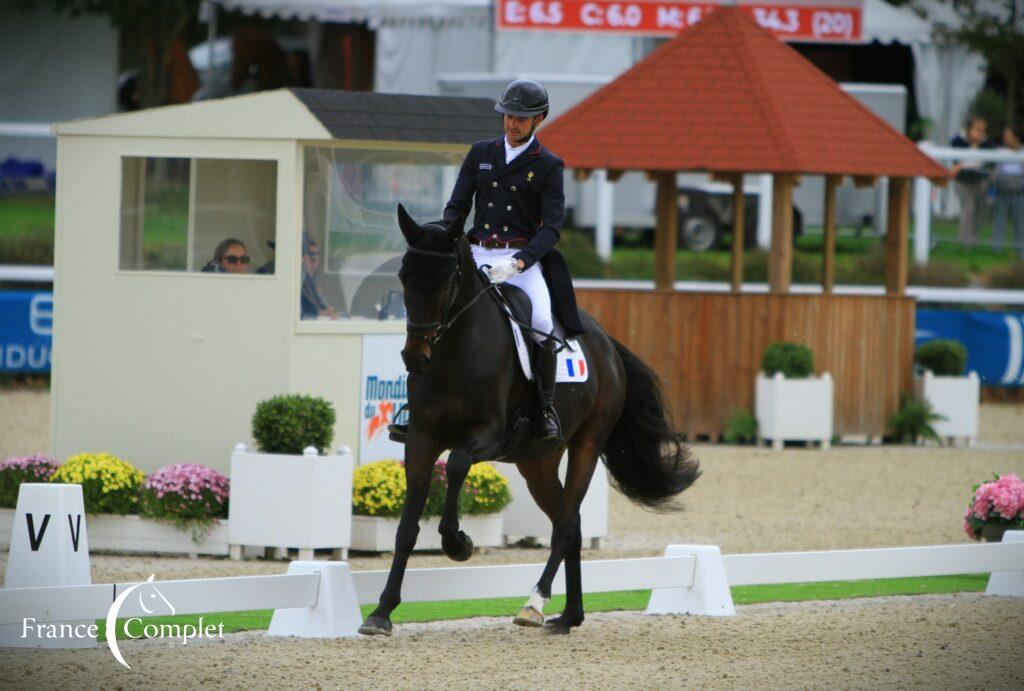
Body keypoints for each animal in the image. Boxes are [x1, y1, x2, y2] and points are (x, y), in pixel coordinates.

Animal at [356, 206, 700, 638]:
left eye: (447, 278)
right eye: (404, 275)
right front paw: (381, 612)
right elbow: (406, 527)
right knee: (571, 525)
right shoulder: (421, 438)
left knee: (565, 524)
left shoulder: (487, 436)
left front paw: (458, 543)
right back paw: (569, 616)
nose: (415, 358)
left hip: (588, 443)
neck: (454, 352)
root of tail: (606, 342)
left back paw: (534, 604)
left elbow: (457, 465)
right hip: (536, 462)